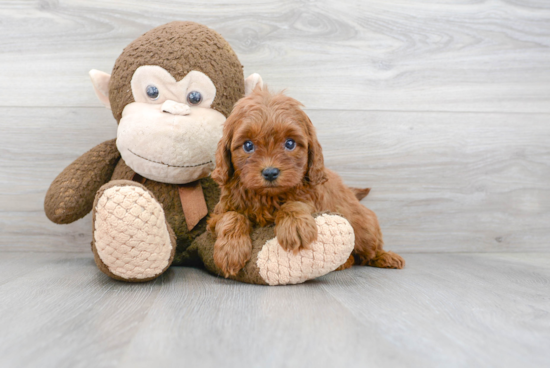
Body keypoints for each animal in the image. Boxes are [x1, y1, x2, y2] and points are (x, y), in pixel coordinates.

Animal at [208, 87, 406, 276]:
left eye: (290, 143)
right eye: (248, 145)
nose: (270, 172)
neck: (267, 197)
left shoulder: (312, 200)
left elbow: (295, 203)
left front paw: (295, 225)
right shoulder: (218, 213)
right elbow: (231, 216)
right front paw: (230, 250)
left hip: (365, 228)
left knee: (368, 251)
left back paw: (386, 257)